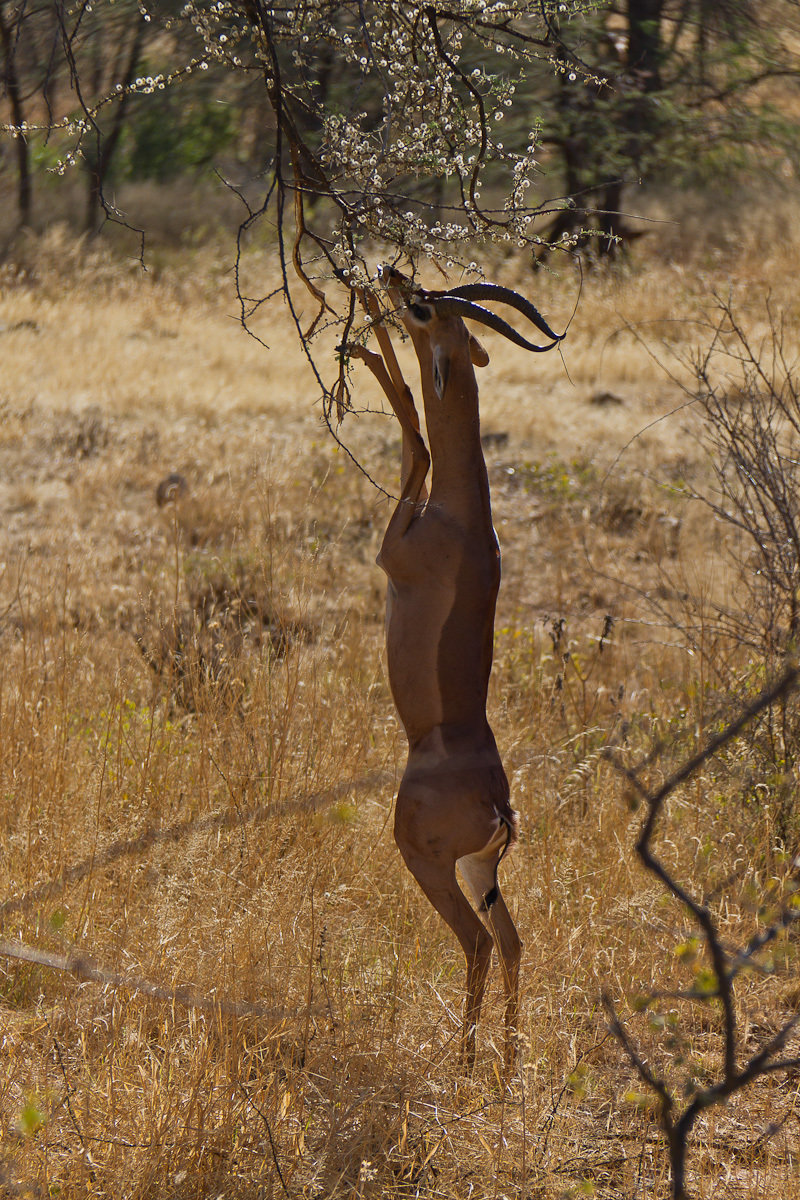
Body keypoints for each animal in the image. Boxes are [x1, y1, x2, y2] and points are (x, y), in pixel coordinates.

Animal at [350, 265, 563, 1070]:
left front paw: (362, 343)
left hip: (428, 862)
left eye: (423, 308)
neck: (464, 519)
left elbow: (415, 432)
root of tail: (501, 809)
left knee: (477, 944)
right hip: (479, 871)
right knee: (514, 941)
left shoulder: (391, 548)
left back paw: (466, 1066)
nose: (390, 272)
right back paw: (505, 1067)